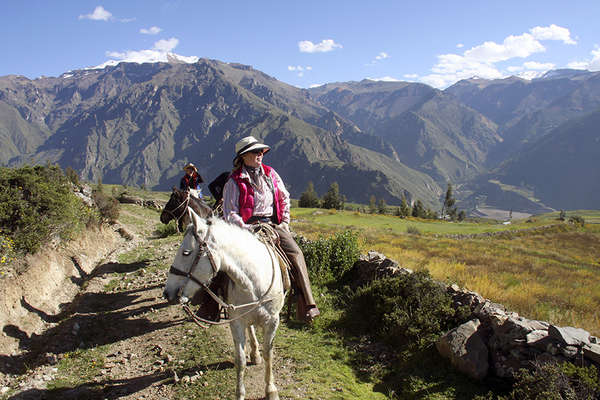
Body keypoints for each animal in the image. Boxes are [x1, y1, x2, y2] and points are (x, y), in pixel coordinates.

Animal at [163, 212, 284, 400]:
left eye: (186, 252)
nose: (167, 292)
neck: (255, 282)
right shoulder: (236, 321)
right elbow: (240, 360)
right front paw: (240, 393)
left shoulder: (272, 321)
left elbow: (268, 354)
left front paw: (271, 390)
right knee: (251, 329)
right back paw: (254, 354)